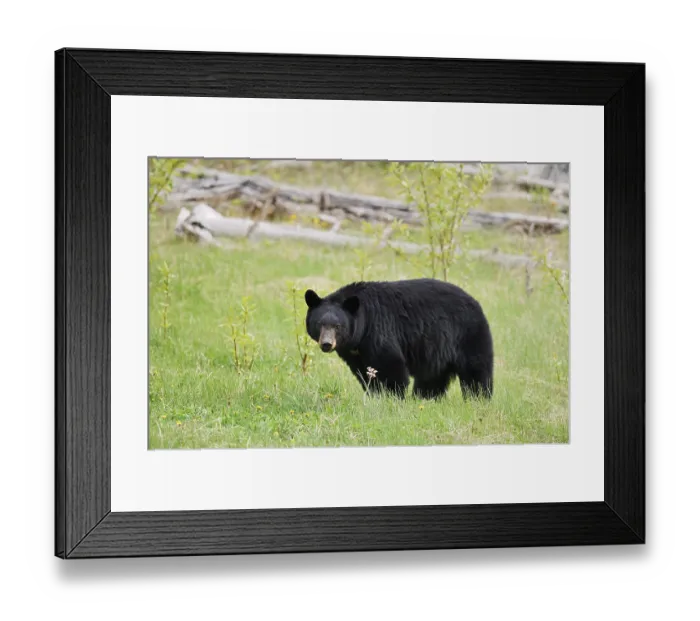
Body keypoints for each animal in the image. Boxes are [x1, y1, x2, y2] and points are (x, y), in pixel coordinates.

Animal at [304, 278, 493, 400]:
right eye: (320, 324)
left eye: (338, 326)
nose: (327, 344)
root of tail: (476, 302)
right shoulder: (355, 352)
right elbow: (365, 373)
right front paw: (375, 395)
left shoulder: (379, 330)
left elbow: (390, 364)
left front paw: (392, 397)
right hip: (438, 351)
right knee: (432, 377)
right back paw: (425, 398)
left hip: (468, 335)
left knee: (476, 369)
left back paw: (479, 398)